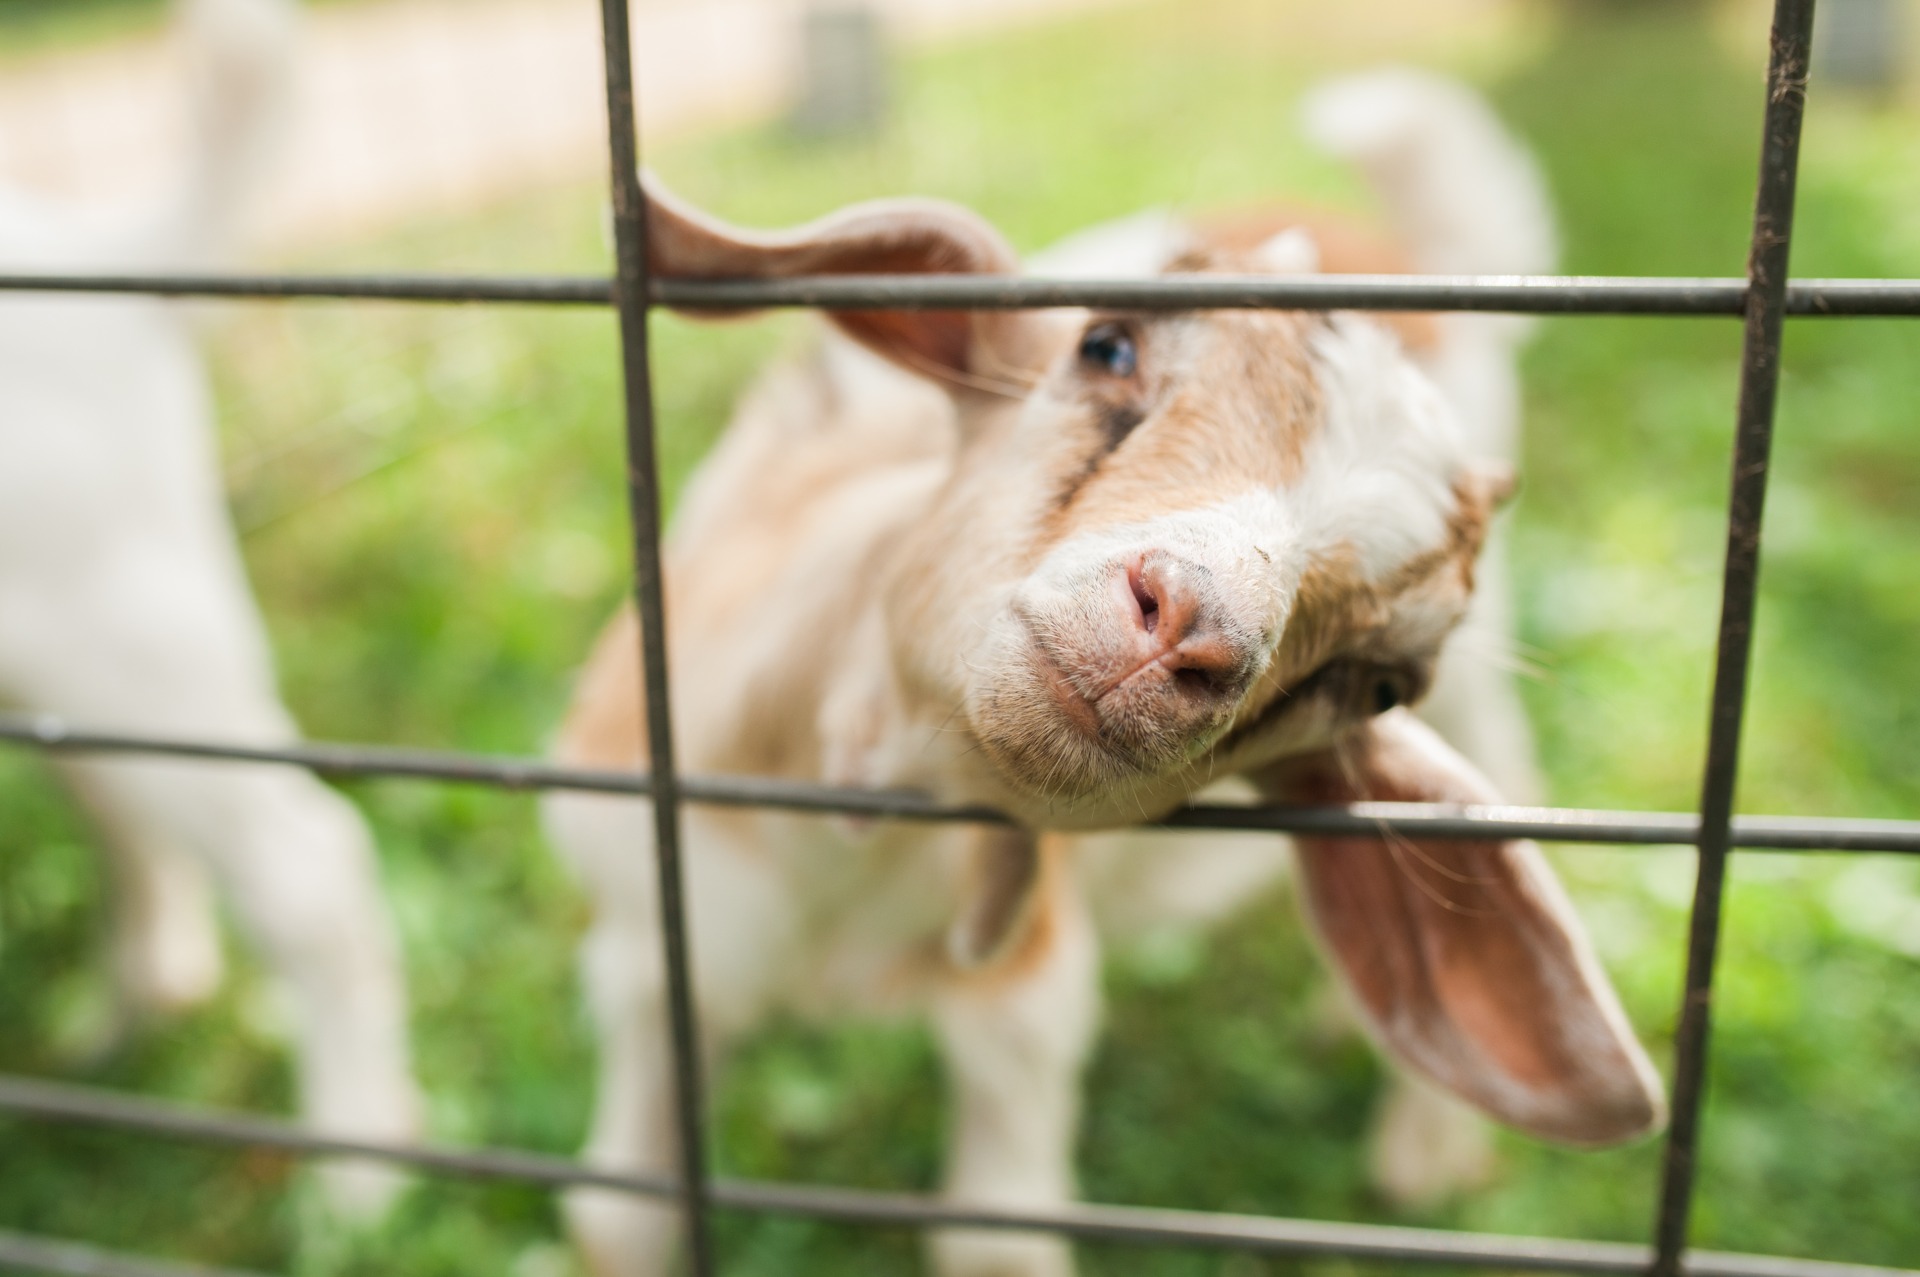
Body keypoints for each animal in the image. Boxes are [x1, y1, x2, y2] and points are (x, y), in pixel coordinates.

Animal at [0, 0, 418, 1213]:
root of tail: (109, 261)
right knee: (136, 839)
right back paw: (120, 1029)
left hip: (124, 639)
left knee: (310, 871)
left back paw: (357, 1180)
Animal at [545, 72, 1666, 1275]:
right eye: (1106, 345)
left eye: (1379, 683)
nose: (1188, 629)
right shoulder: (647, 939)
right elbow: (618, 1214)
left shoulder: (1025, 994)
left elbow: (996, 1240)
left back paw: (1424, 1139)